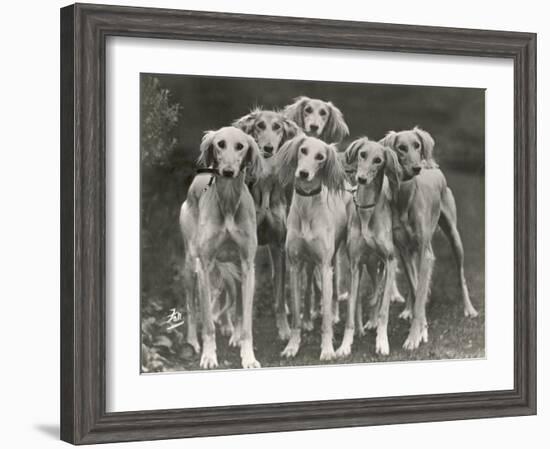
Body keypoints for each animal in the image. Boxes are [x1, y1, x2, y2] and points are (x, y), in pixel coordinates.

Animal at [181, 126, 266, 368]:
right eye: (220, 144)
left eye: (240, 146)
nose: (228, 171)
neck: (228, 201)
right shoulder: (205, 266)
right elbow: (207, 322)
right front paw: (209, 356)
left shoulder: (247, 265)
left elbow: (246, 320)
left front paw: (248, 357)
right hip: (191, 265)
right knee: (191, 307)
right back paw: (193, 341)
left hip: (232, 265)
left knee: (232, 295)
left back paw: (232, 330)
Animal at [276, 134, 350, 360]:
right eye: (303, 150)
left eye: (320, 157)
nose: (303, 173)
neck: (307, 208)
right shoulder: (294, 264)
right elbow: (295, 316)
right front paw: (292, 346)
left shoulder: (325, 266)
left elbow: (325, 318)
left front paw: (327, 349)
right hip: (308, 263)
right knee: (308, 288)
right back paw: (308, 318)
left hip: (337, 256)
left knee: (333, 291)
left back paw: (334, 314)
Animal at [336, 138, 402, 356]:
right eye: (362, 154)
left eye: (378, 160)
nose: (361, 179)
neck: (366, 210)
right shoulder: (355, 264)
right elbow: (350, 308)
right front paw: (345, 345)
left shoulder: (389, 260)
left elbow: (384, 310)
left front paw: (382, 342)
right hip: (368, 265)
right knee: (365, 294)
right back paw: (362, 326)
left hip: (379, 264)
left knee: (380, 291)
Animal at [382, 126, 480, 350]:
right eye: (401, 148)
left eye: (417, 145)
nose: (417, 168)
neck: (406, 198)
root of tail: (432, 167)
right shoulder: (404, 250)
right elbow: (416, 287)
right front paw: (420, 325)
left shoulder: (425, 253)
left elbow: (421, 291)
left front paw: (415, 335)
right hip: (410, 252)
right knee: (415, 285)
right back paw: (408, 310)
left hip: (454, 237)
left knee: (461, 275)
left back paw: (469, 309)